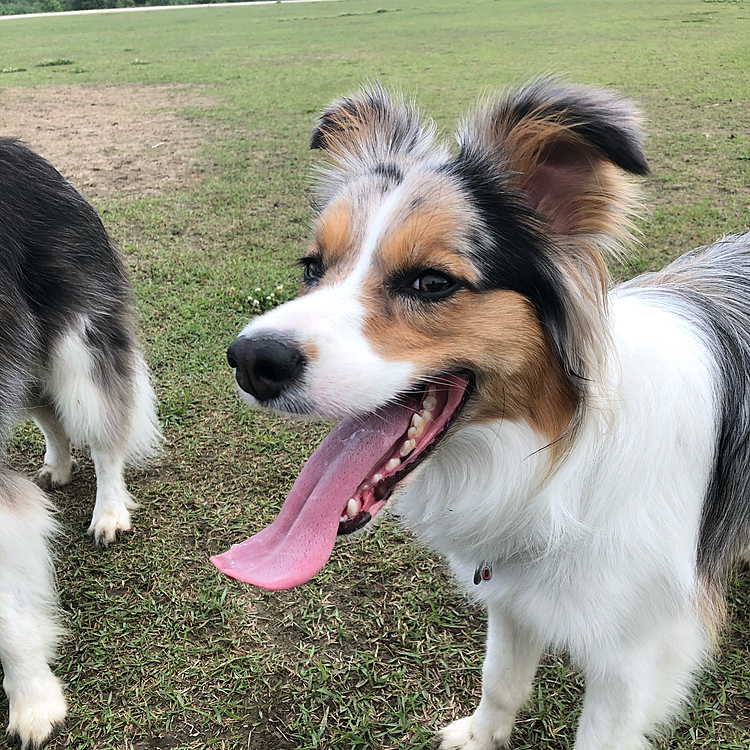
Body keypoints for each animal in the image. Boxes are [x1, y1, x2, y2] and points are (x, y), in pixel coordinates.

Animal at [214, 82, 750, 750]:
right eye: (313, 267)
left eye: (431, 282)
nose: (251, 360)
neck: (564, 469)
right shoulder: (513, 595)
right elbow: (501, 678)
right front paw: (480, 736)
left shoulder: (635, 659)